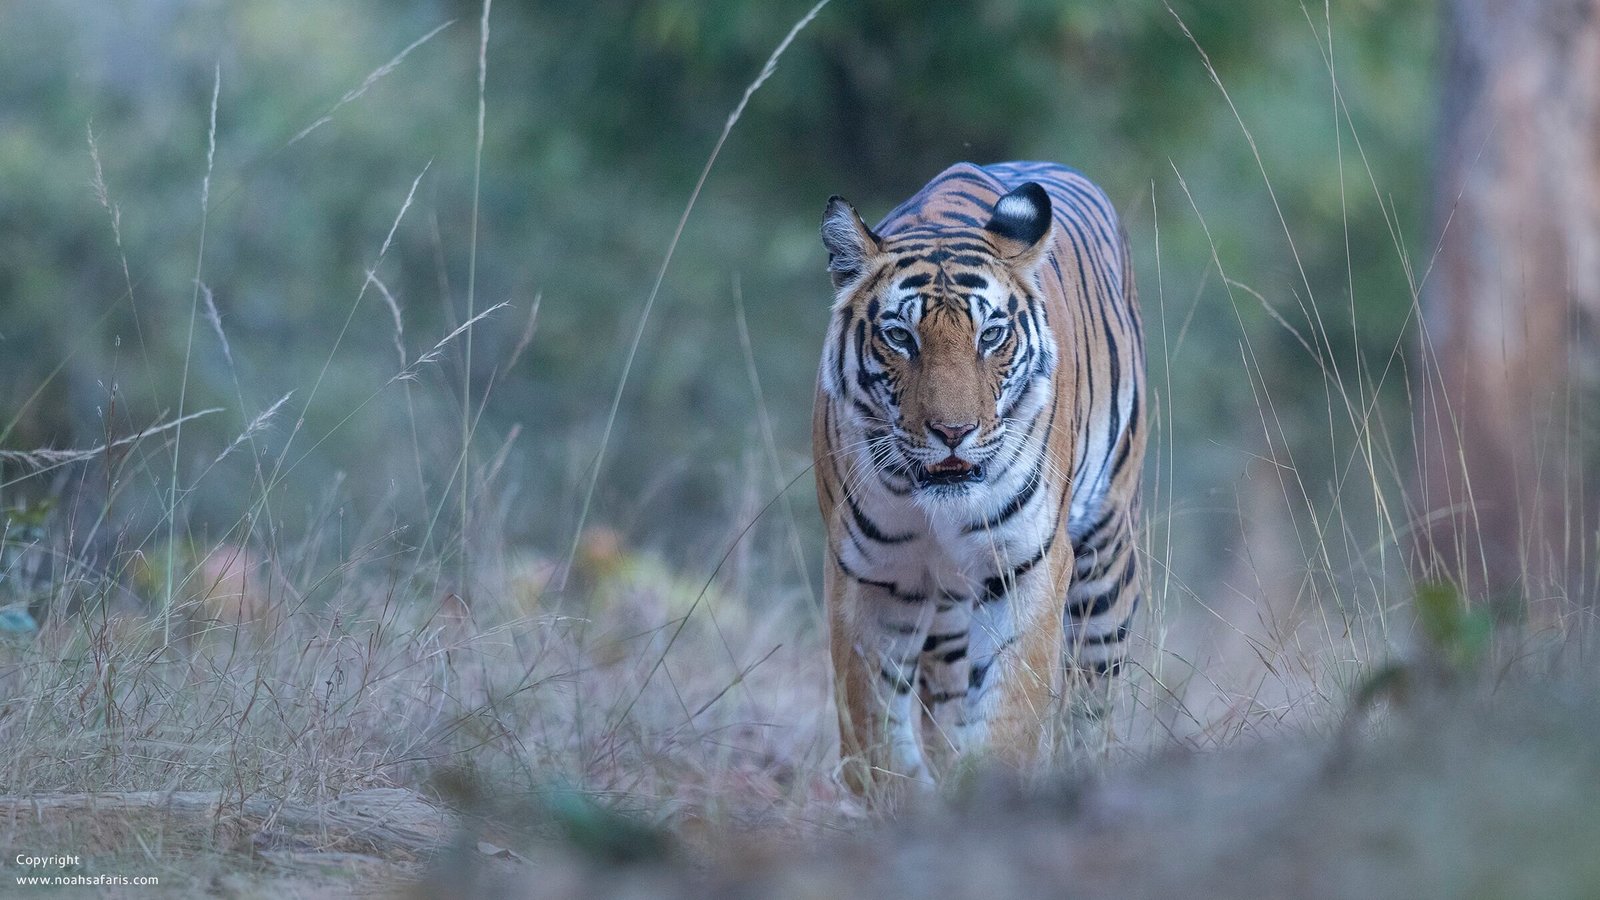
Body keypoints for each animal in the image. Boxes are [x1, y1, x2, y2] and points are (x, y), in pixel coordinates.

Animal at [812, 161, 1145, 798]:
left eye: (990, 336)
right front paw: (906, 797)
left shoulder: (1028, 563)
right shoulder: (870, 576)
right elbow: (870, 735)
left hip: (1106, 554)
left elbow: (1010, 715)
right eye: (900, 337)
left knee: (1097, 690)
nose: (953, 431)